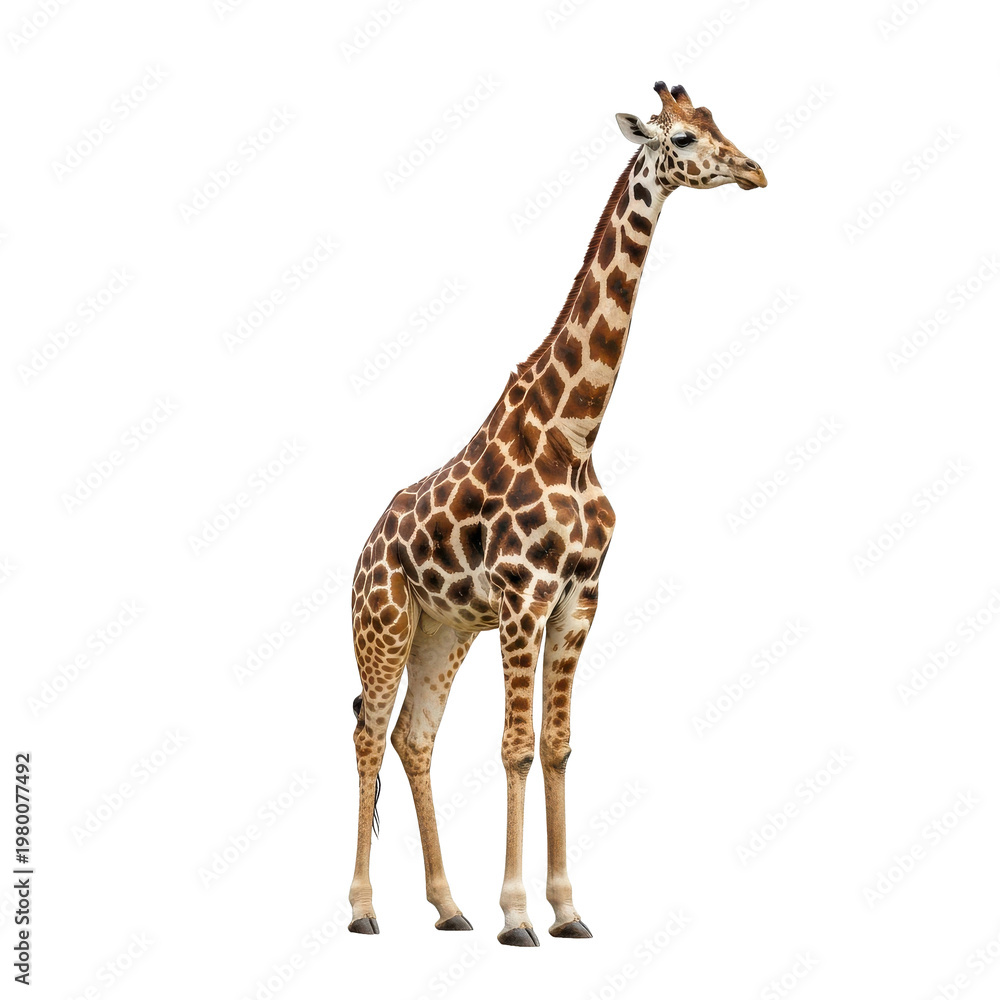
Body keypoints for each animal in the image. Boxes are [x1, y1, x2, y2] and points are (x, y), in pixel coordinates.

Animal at [348, 81, 766, 945]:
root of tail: (363, 549)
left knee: (413, 734)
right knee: (369, 731)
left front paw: (567, 909)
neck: (575, 431)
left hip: (442, 631)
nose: (755, 170)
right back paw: (365, 909)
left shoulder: (579, 598)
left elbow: (559, 745)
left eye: (718, 123)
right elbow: (514, 746)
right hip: (384, 621)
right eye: (683, 136)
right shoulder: (523, 595)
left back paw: (447, 905)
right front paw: (517, 916)